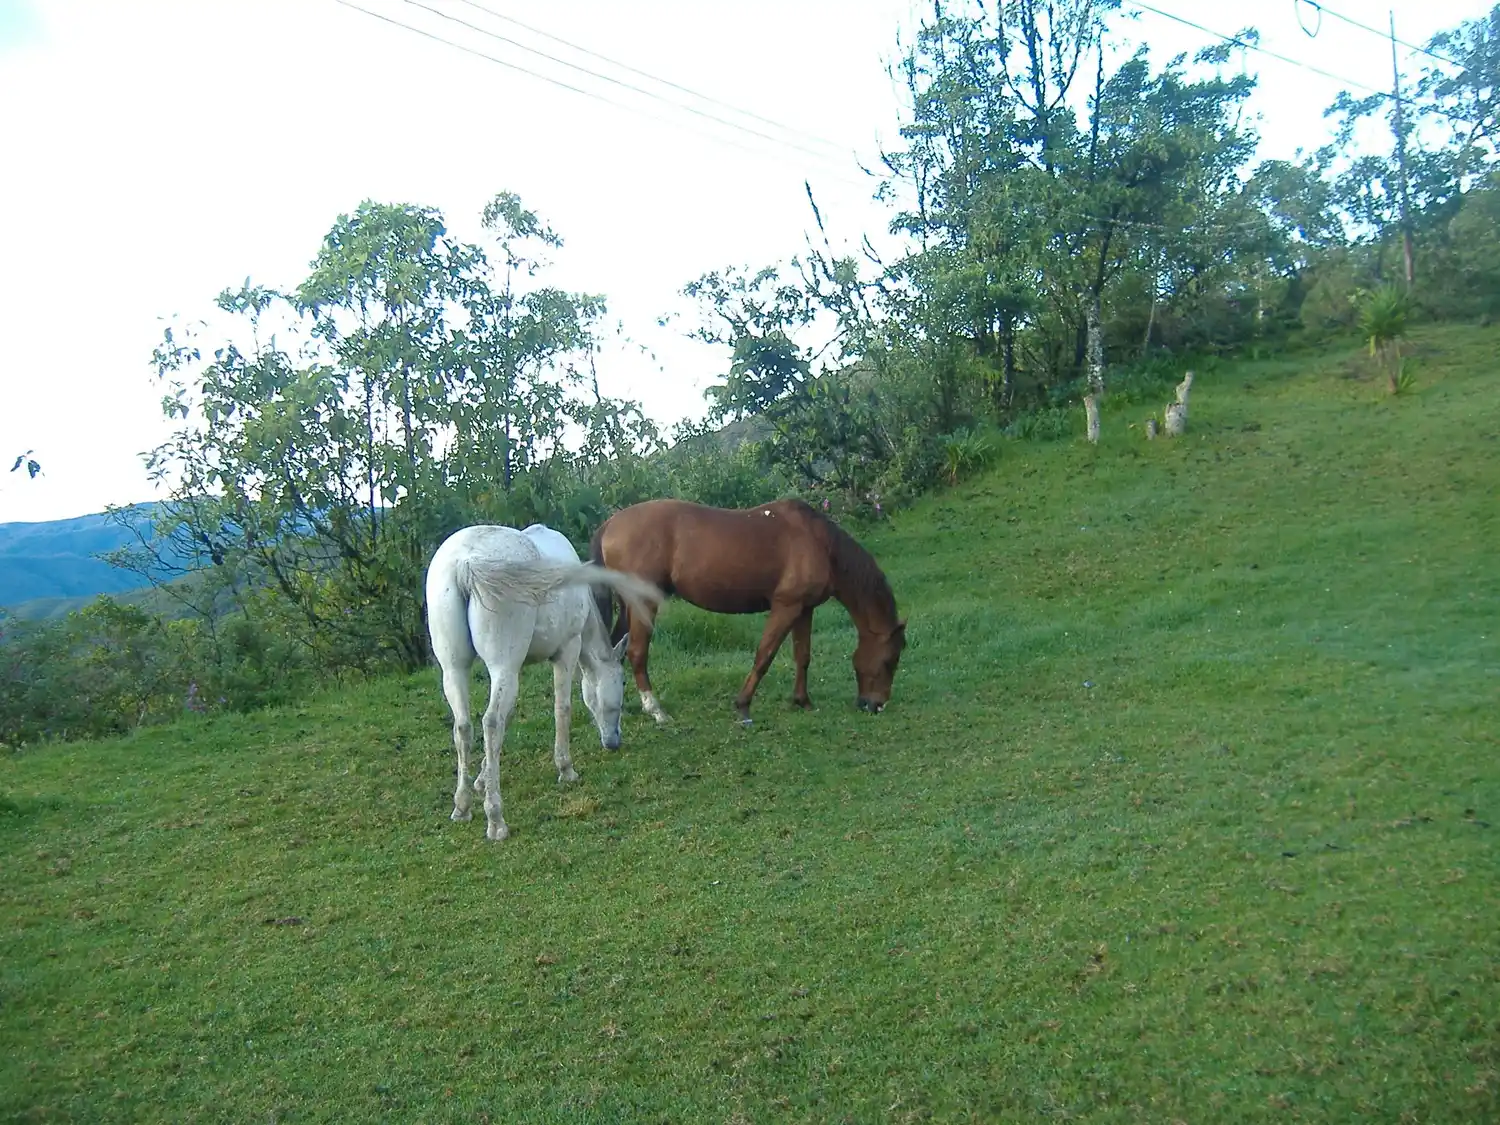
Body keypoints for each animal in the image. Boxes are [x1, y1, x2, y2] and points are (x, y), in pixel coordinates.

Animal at [425, 523, 663, 841]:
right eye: (623, 684)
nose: (614, 742)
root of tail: (465, 563)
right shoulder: (567, 650)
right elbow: (562, 709)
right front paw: (566, 769)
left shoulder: (518, 669)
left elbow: (509, 718)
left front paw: (482, 779)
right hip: (502, 666)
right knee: (491, 723)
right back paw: (496, 821)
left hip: (454, 669)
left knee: (463, 727)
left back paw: (462, 807)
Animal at [588, 498, 906, 723]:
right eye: (889, 660)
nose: (875, 705)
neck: (821, 543)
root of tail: (610, 524)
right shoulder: (786, 606)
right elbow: (764, 655)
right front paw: (743, 706)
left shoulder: (804, 609)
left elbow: (802, 656)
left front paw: (802, 701)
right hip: (644, 603)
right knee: (636, 652)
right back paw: (656, 710)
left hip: (628, 606)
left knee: (614, 651)